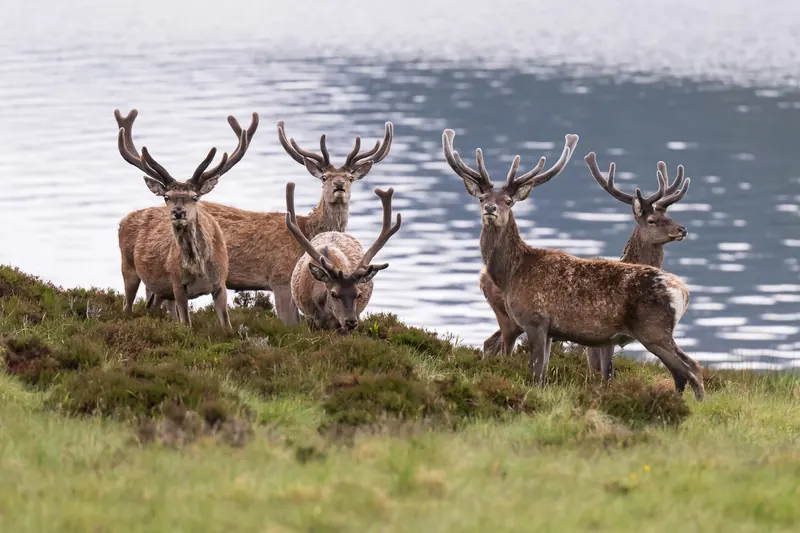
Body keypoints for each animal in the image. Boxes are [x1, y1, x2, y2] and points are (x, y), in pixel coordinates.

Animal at [115, 109, 259, 329]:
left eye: (195, 197)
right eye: (167, 197)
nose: (178, 212)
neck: (198, 269)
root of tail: (124, 220)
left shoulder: (220, 282)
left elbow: (226, 325)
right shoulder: (177, 283)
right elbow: (187, 325)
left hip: (159, 290)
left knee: (151, 306)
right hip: (128, 265)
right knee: (128, 305)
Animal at [480, 153, 692, 382]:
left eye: (669, 216)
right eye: (652, 220)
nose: (682, 229)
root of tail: (482, 277)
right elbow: (600, 370)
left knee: (490, 343)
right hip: (508, 318)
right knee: (495, 344)